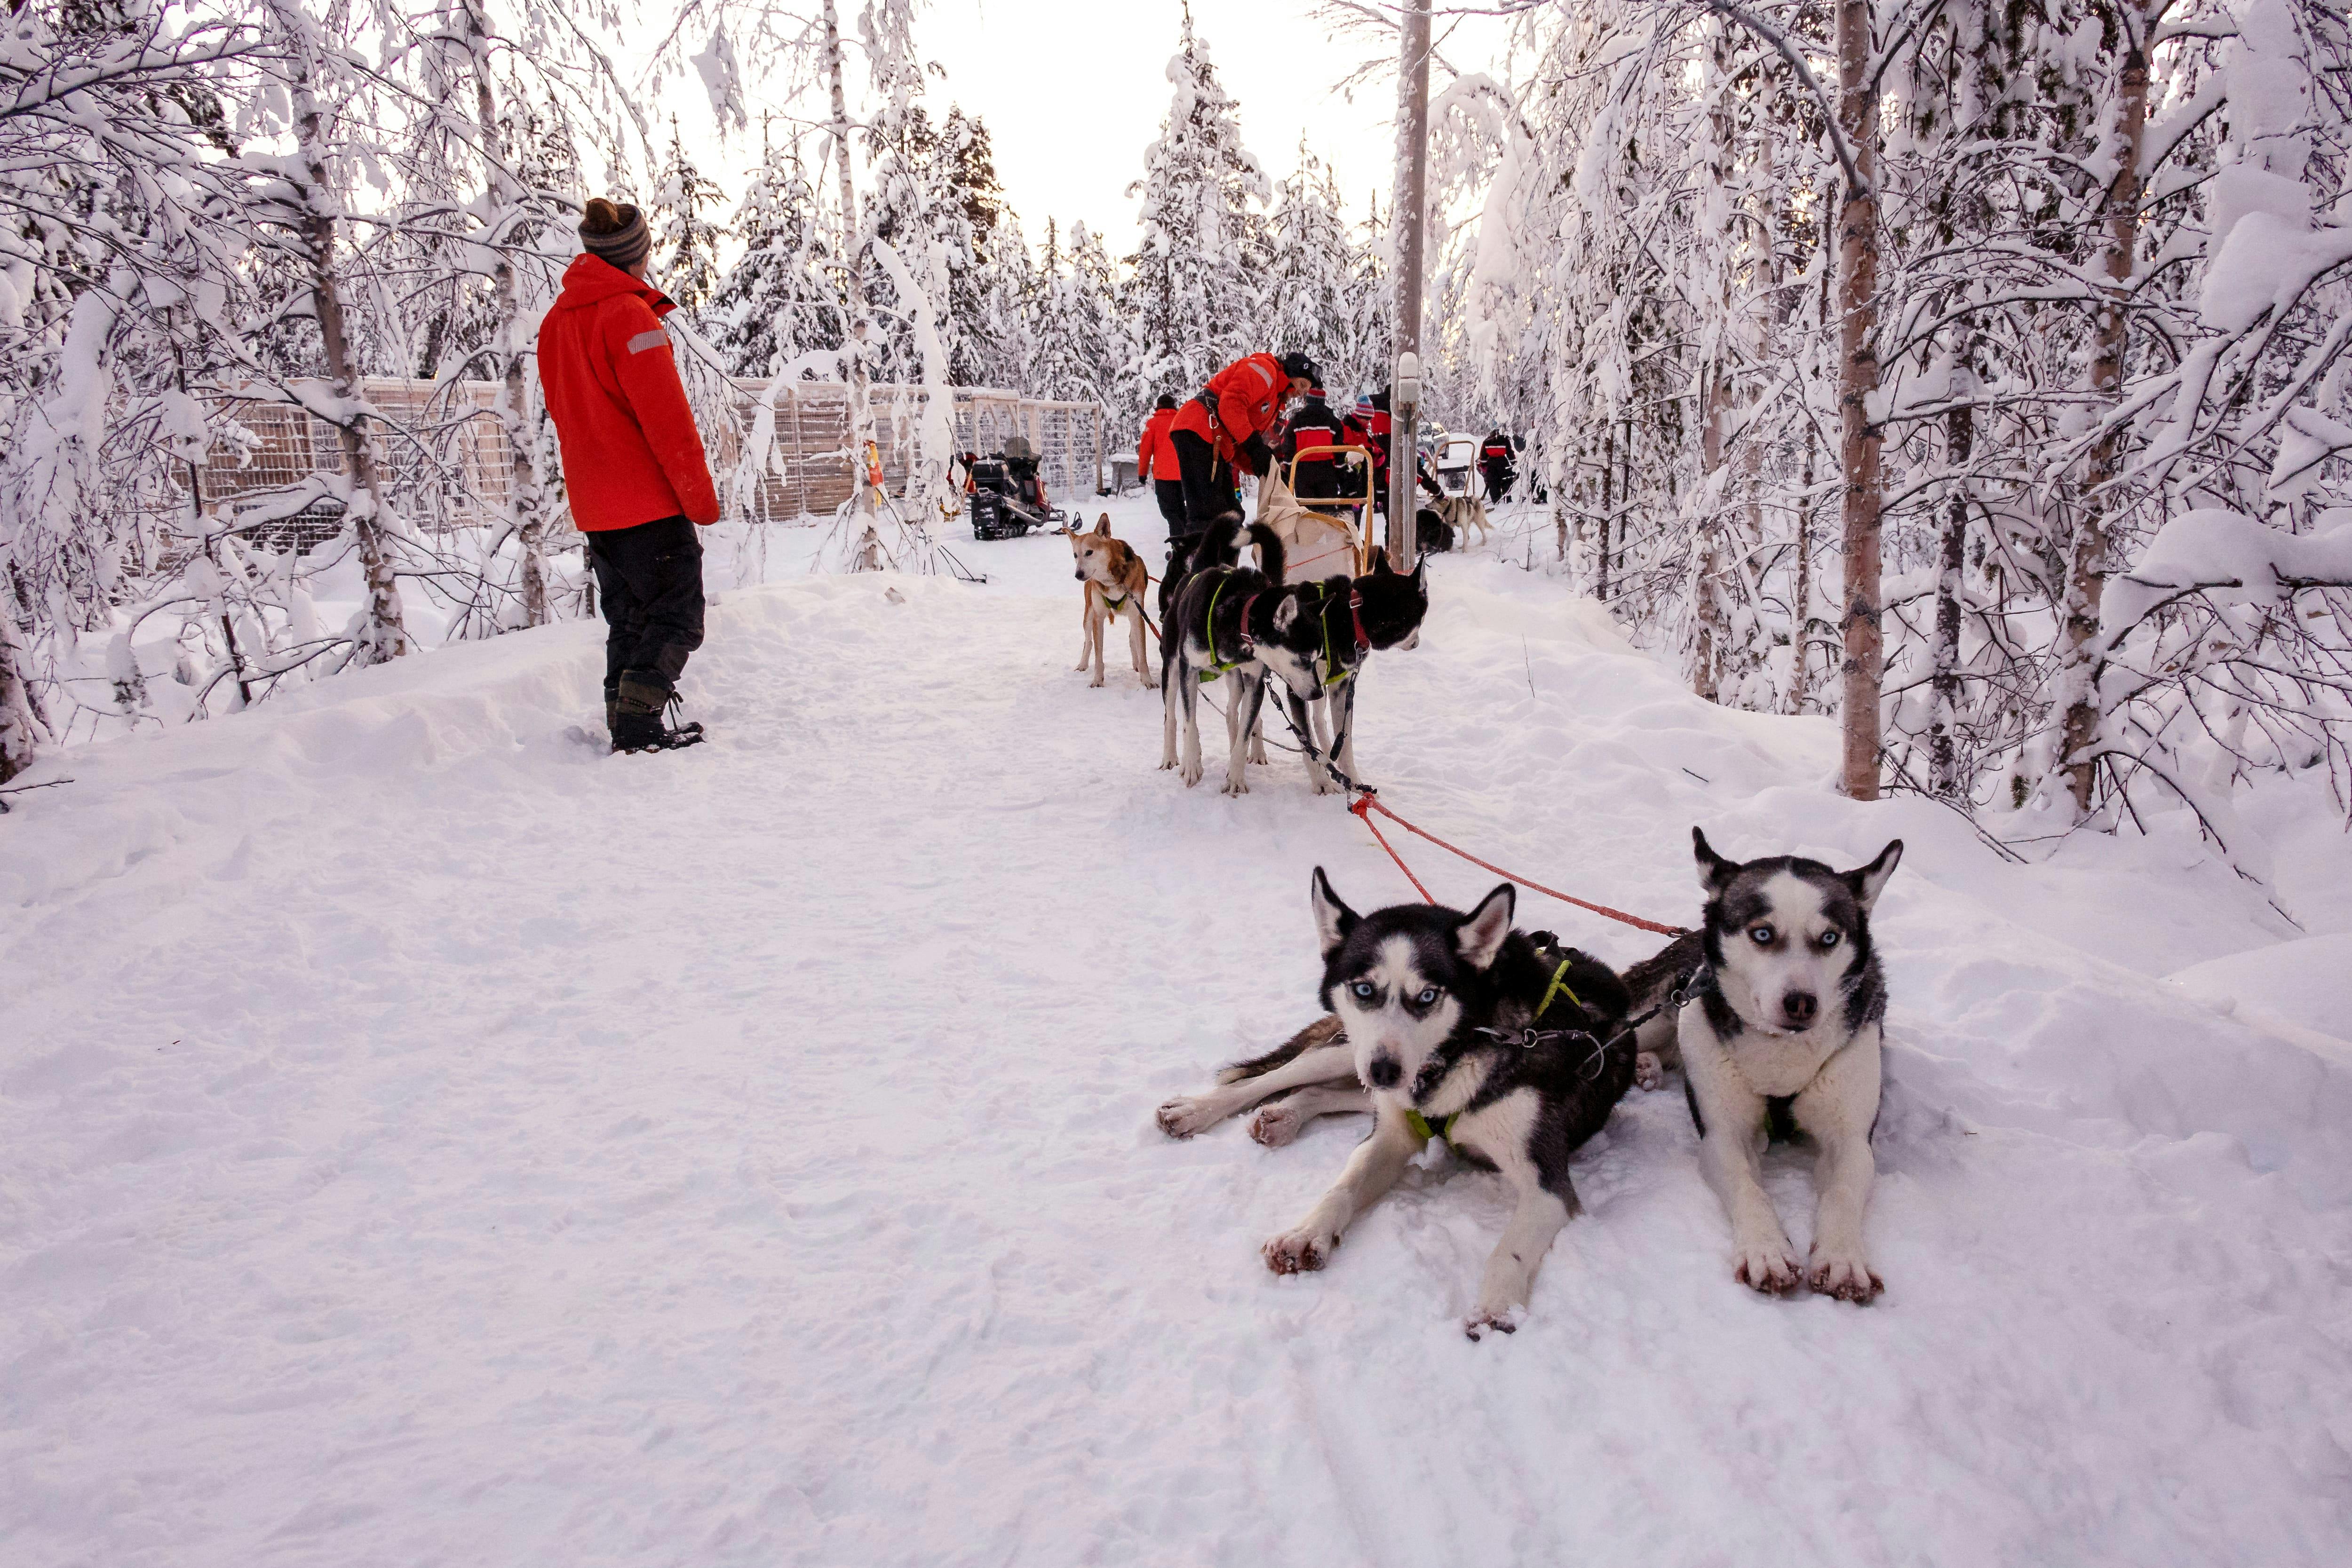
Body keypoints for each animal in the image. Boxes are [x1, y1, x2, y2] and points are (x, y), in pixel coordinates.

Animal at [1073, 517, 1152, 691]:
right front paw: (1097, 680)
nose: (1078, 574)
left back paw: (1136, 663)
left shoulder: (1137, 615)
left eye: (1089, 552)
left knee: (1132, 638)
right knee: (1088, 641)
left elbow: (1143, 653)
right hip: (1088, 615)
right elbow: (1098, 656)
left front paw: (1148, 681)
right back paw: (1082, 664)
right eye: (1075, 555)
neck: (1113, 582)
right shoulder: (1098, 618)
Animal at [1162, 522, 1421, 799]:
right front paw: (1192, 765)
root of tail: (1198, 569)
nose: (1317, 693)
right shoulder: (1189, 669)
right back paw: (1172, 758)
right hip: (1173, 669)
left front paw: (1236, 777)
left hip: (1241, 682)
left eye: (1316, 656)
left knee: (1236, 716)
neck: (1239, 617)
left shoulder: (1256, 679)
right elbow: (1190, 723)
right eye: (1305, 658)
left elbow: (1246, 733)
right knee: (1172, 716)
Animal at [1628, 832, 1900, 1298]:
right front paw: (1767, 1251)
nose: (1802, 1003)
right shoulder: (1723, 1134)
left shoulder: (1851, 1139)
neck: (1782, 1054)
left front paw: (1843, 1260)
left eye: (1830, 938)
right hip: (1659, 1011)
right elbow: (1747, 1186)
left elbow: (1843, 1191)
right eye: (1762, 933)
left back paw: (1648, 1067)